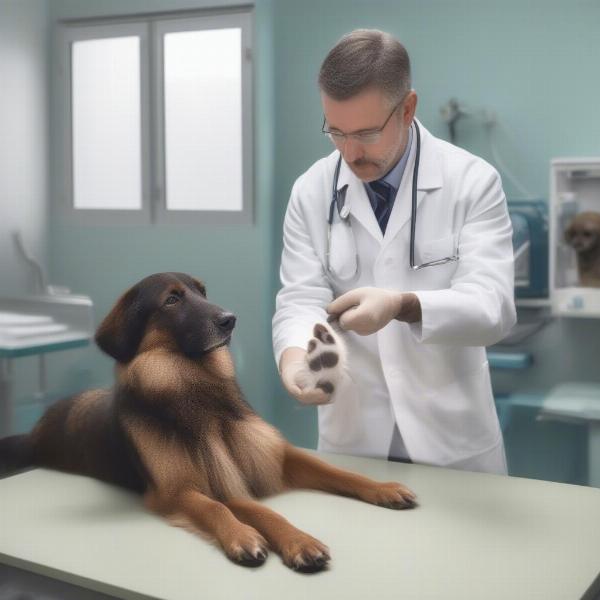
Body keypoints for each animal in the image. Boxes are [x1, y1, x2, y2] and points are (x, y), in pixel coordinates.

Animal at [0, 272, 414, 572]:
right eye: (172, 299)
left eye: (202, 291)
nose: (230, 319)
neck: (194, 385)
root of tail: (38, 427)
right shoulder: (177, 490)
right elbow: (217, 508)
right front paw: (243, 537)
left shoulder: (270, 460)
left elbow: (336, 473)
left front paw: (377, 491)